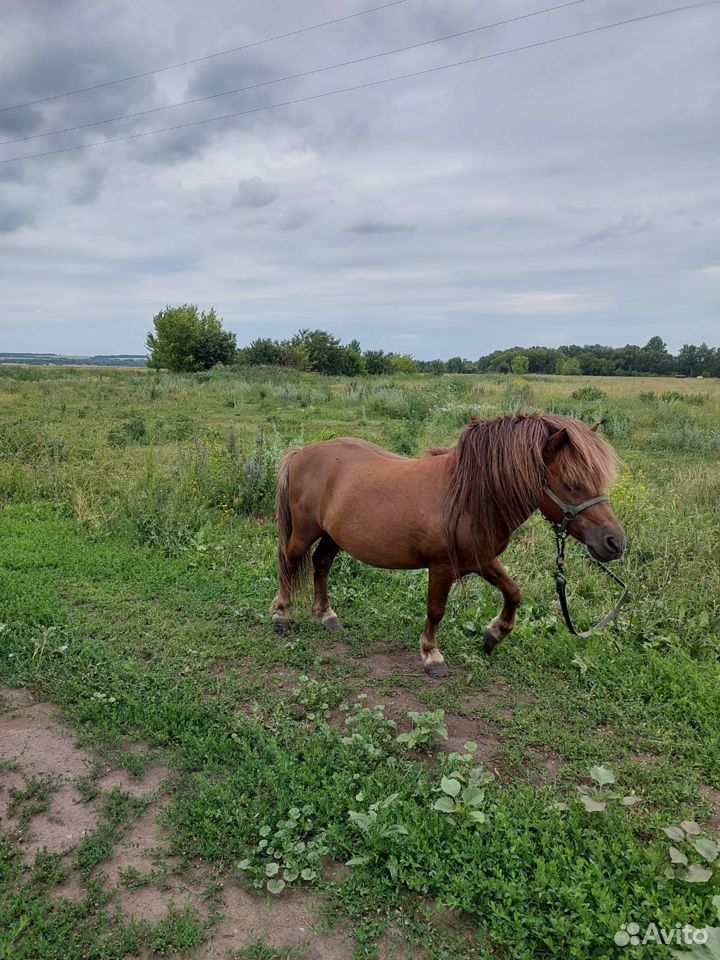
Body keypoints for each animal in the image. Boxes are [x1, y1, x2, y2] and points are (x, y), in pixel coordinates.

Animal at [270, 412, 624, 676]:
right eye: (572, 484)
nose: (615, 542)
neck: (470, 498)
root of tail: (302, 453)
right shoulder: (441, 567)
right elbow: (436, 610)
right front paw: (431, 656)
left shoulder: (481, 560)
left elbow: (513, 592)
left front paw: (494, 634)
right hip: (304, 532)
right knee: (289, 561)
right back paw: (281, 616)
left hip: (334, 536)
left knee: (320, 564)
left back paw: (326, 615)